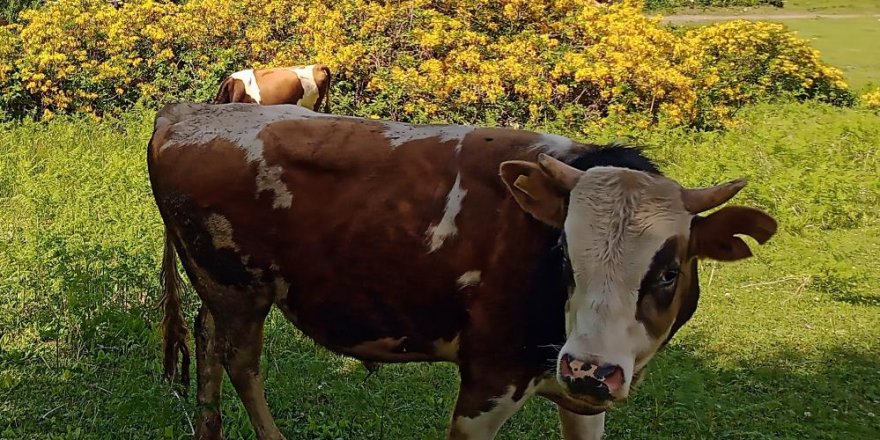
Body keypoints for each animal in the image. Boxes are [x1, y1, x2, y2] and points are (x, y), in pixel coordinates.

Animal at [150, 103, 776, 440]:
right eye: (565, 254)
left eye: (668, 272)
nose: (591, 369)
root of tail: (185, 112)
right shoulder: (488, 383)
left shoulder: (581, 401)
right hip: (238, 288)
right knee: (241, 363)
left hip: (218, 289)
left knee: (207, 341)